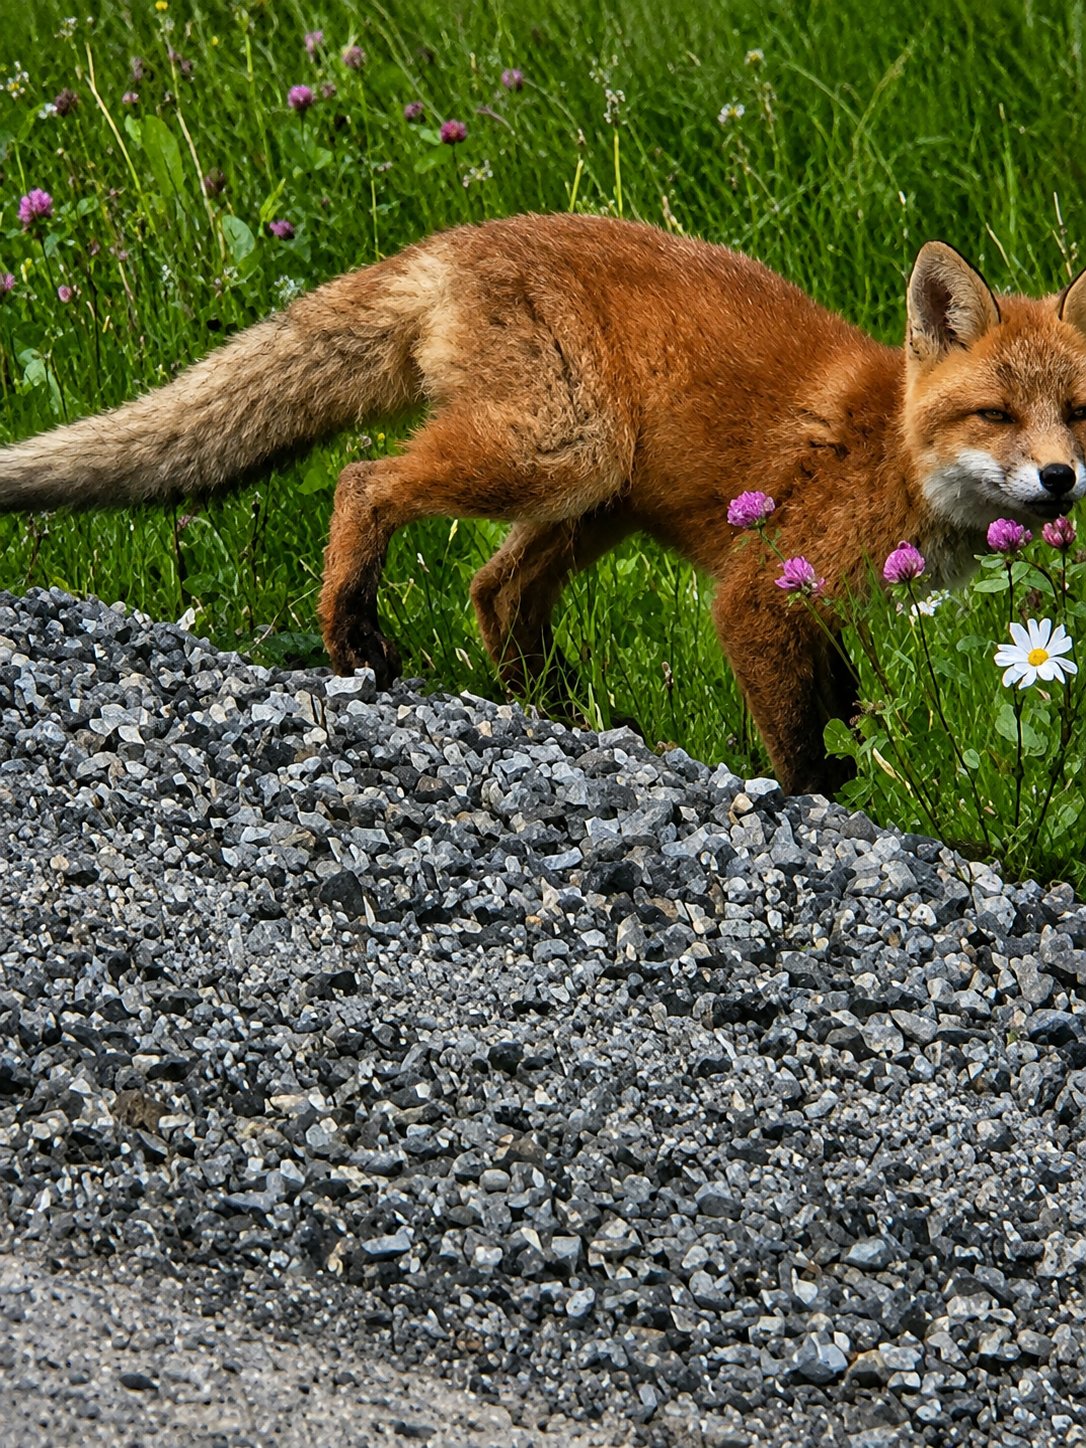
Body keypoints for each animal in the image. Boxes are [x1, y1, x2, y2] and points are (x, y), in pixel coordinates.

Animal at [1, 212, 1085, 795]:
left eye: (1077, 414)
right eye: (995, 414)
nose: (1061, 481)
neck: (894, 455)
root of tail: (459, 238)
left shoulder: (832, 608)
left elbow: (854, 714)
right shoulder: (759, 593)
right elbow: (802, 743)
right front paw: (820, 799)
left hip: (597, 496)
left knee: (495, 590)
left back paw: (563, 712)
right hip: (562, 457)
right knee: (366, 483)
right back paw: (352, 630)